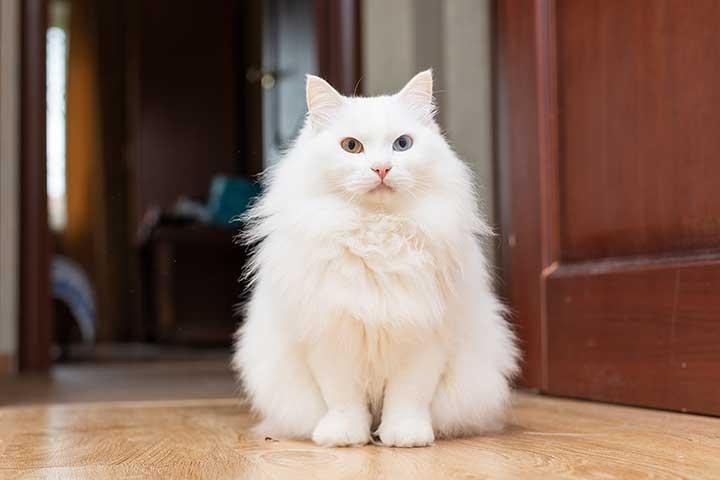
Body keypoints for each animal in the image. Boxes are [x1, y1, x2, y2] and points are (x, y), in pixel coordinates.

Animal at [233, 69, 520, 448]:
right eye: (351, 146)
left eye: (402, 144)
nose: (382, 169)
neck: (376, 232)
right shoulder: (331, 338)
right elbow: (343, 399)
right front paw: (343, 437)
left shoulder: (422, 339)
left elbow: (408, 398)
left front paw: (406, 437)